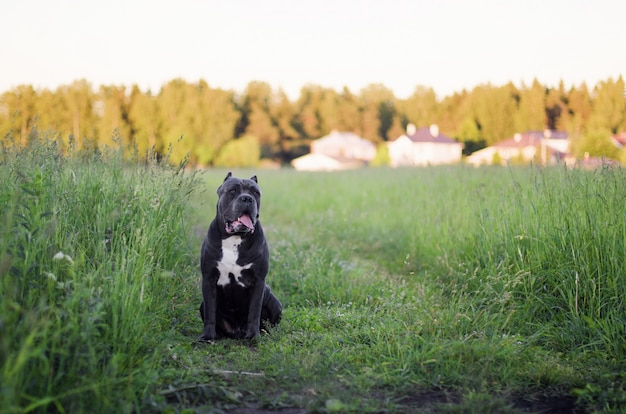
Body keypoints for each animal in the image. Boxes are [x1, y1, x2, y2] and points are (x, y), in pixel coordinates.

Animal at [199, 171, 282, 340]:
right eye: (232, 191)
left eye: (256, 193)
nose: (247, 198)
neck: (235, 239)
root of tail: (236, 331)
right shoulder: (208, 279)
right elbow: (210, 313)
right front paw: (207, 337)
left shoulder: (258, 282)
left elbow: (254, 312)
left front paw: (253, 336)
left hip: (273, 299)